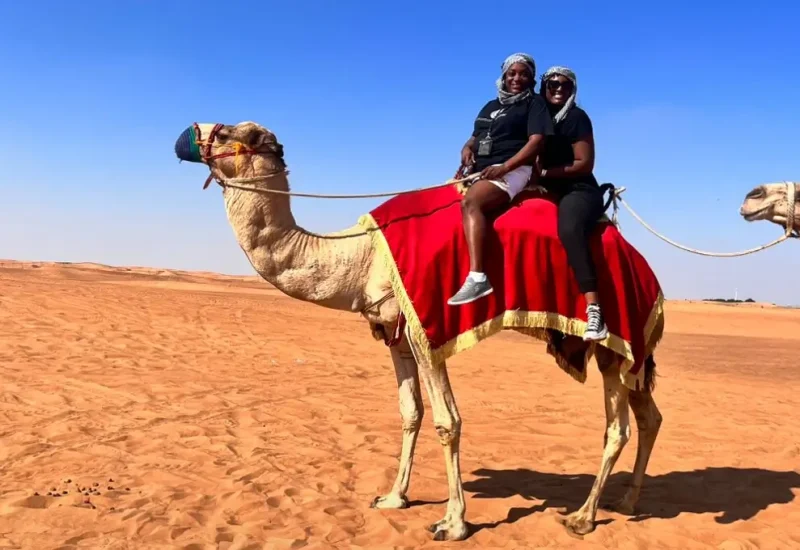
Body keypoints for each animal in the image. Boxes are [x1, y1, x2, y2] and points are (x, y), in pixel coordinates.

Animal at [173, 121, 663, 541]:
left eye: (235, 133)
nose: (187, 134)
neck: (361, 257)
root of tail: (648, 273)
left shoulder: (426, 331)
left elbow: (449, 421)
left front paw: (453, 523)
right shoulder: (395, 334)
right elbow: (410, 412)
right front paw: (393, 497)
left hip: (613, 340)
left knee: (617, 427)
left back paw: (582, 517)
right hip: (626, 350)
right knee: (648, 416)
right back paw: (627, 502)